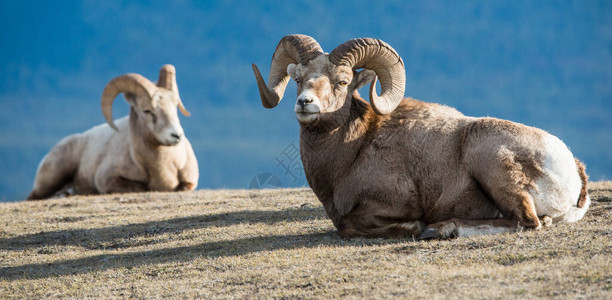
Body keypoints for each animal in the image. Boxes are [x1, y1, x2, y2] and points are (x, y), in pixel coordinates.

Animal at [28, 66, 198, 202]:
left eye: (175, 106)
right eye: (147, 110)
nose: (176, 135)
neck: (161, 168)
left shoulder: (190, 182)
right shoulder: (108, 179)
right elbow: (140, 188)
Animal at [251, 34, 592, 238]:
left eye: (342, 81)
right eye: (298, 79)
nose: (305, 103)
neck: (353, 152)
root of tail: (573, 170)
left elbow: (349, 225)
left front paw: (417, 226)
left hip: (490, 160)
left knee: (528, 221)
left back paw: (442, 228)